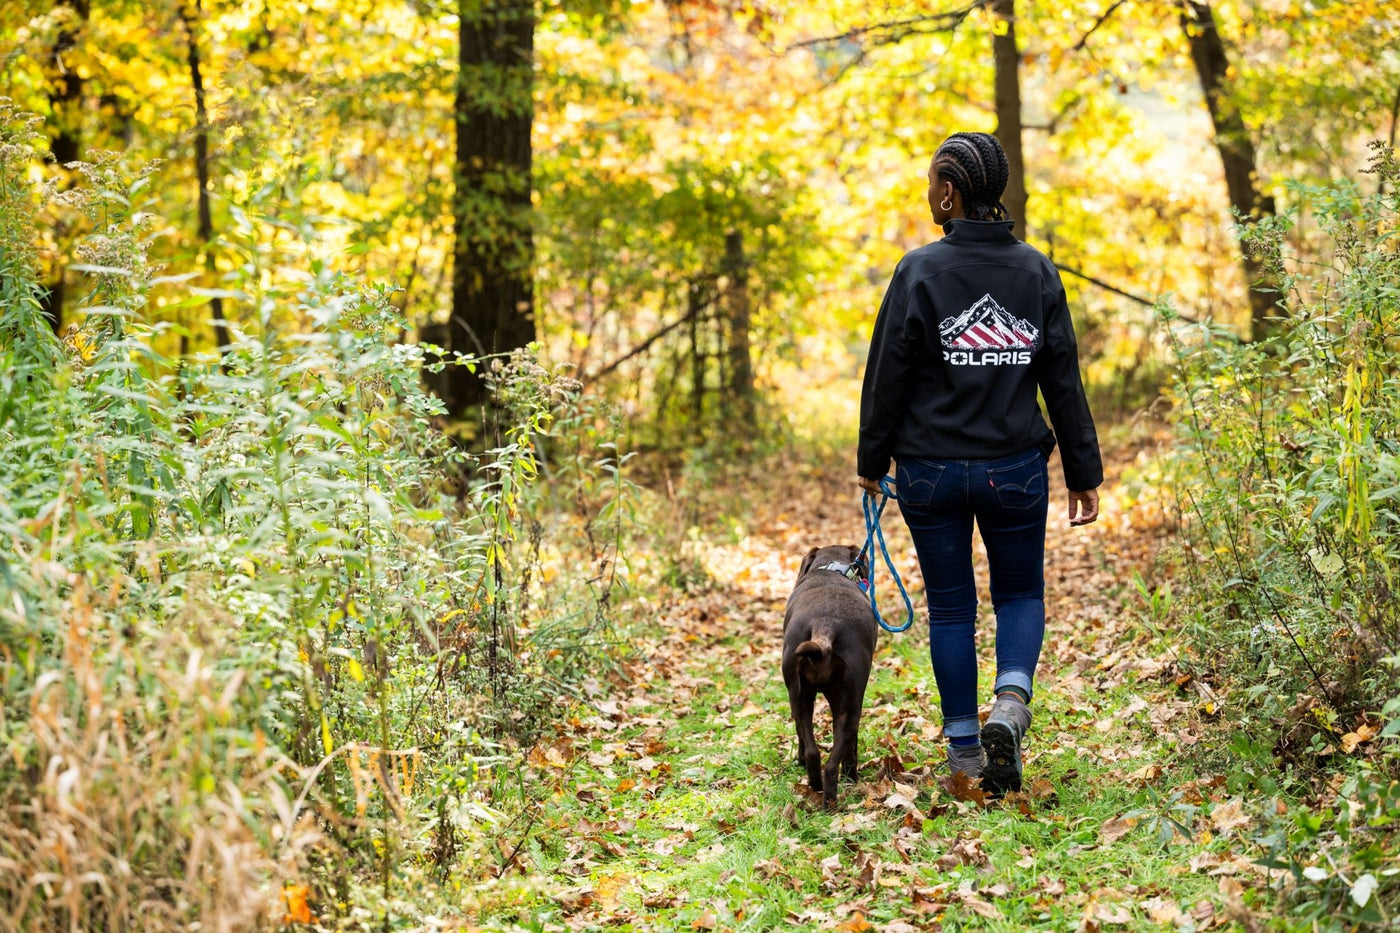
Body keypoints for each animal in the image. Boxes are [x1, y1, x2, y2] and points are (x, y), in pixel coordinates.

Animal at [789, 540, 873, 801]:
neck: (832, 569)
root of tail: (824, 624)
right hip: (849, 704)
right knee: (834, 758)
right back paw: (839, 789)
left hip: (800, 698)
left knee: (814, 752)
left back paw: (817, 786)